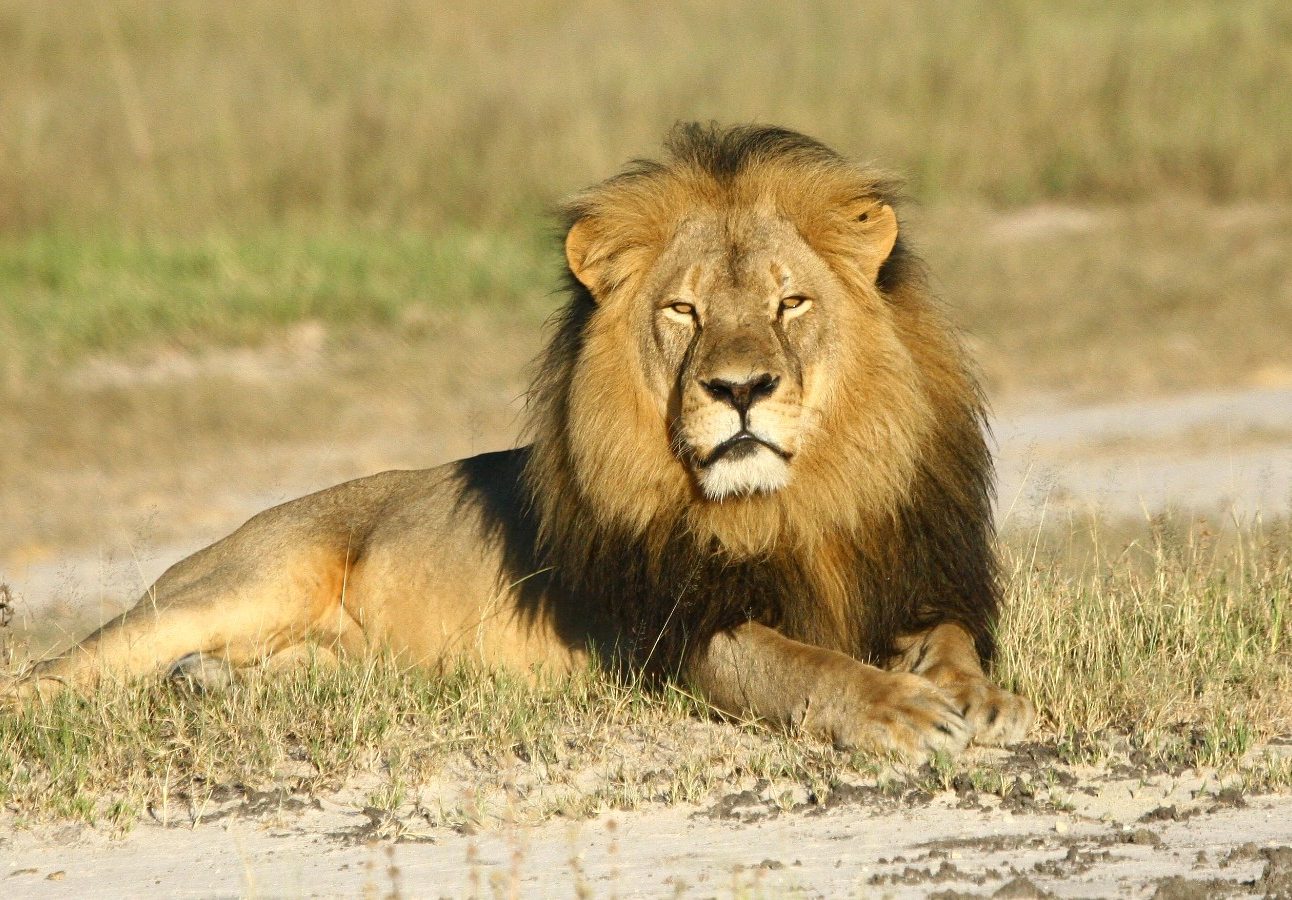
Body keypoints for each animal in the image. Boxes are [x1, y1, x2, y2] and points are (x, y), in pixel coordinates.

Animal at [9, 124, 1033, 758]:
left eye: (791, 303)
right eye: (684, 311)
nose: (740, 389)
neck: (795, 504)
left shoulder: (914, 576)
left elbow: (950, 639)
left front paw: (979, 698)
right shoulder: (676, 635)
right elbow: (799, 664)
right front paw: (899, 711)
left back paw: (207, 687)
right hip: (241, 581)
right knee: (55, 672)